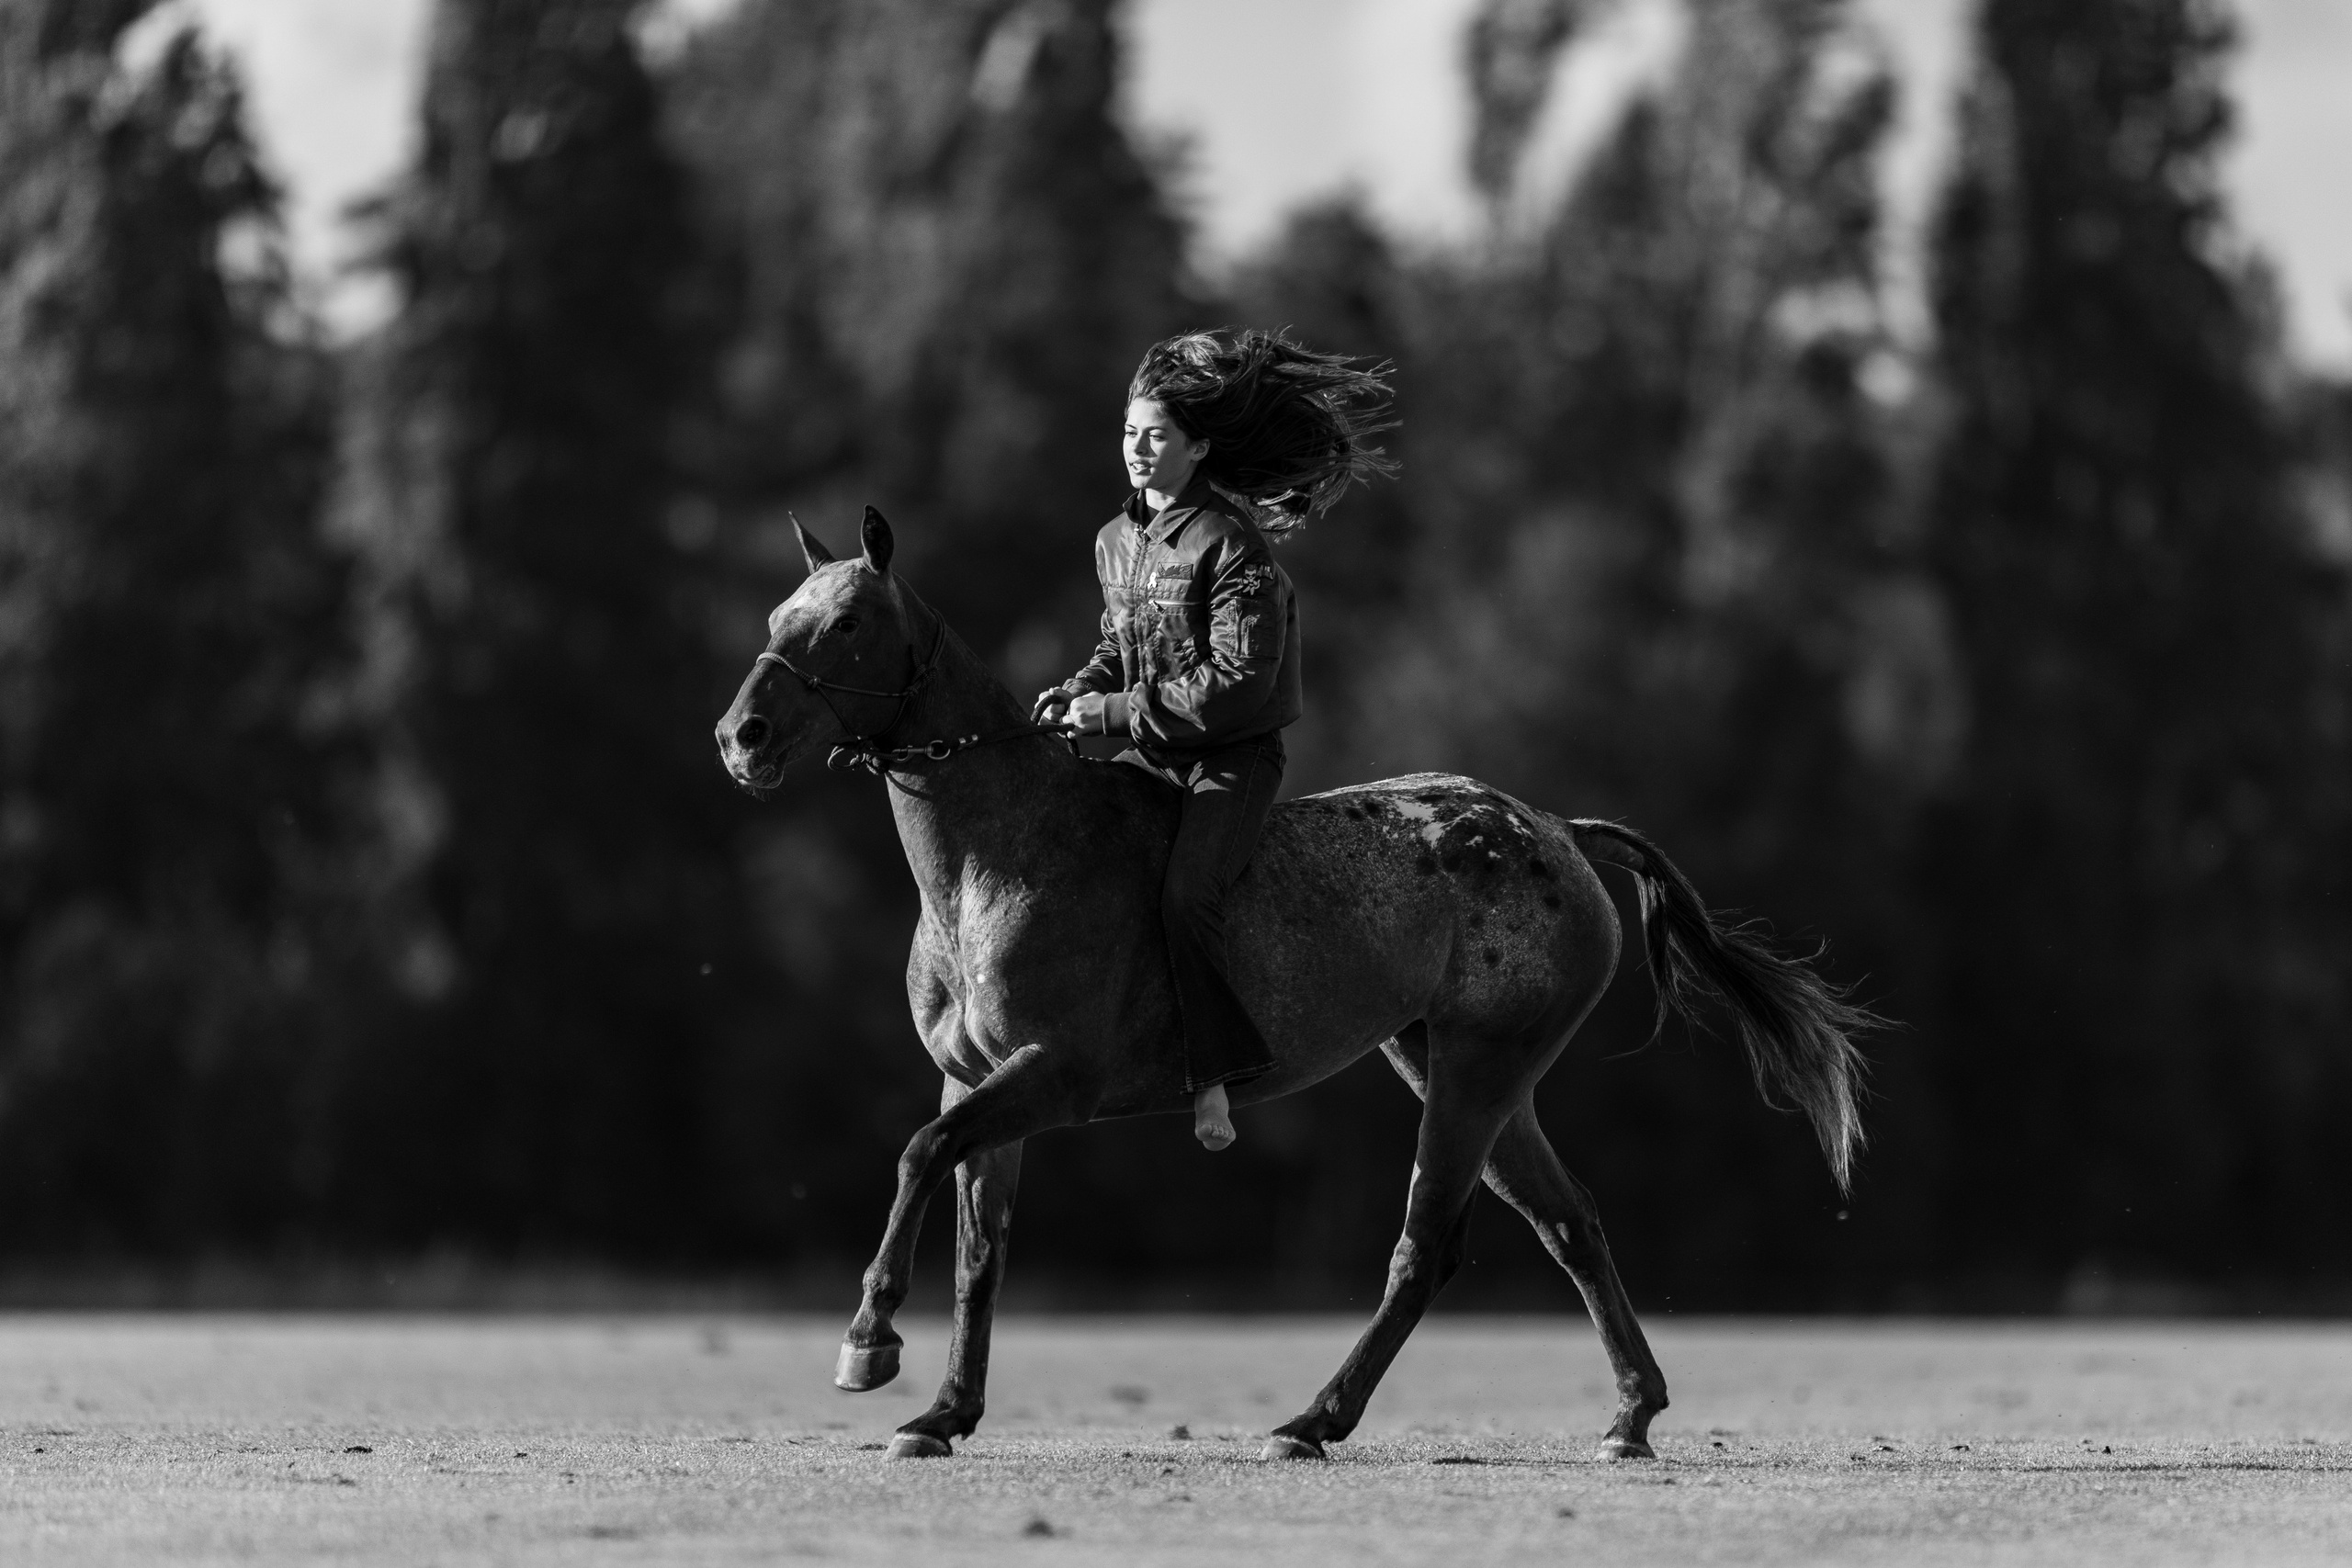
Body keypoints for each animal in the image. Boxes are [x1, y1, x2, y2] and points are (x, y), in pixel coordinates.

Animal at [714, 505, 1875, 1463]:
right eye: (779, 613)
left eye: (849, 621)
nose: (741, 736)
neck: (1000, 856)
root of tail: (1553, 828)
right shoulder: (977, 1082)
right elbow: (976, 1246)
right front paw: (945, 1412)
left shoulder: (1052, 1079)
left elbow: (919, 1155)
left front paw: (868, 1341)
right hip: (1459, 1070)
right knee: (1569, 1225)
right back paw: (1629, 1415)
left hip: (1475, 1074)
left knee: (1425, 1247)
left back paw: (1314, 1421)